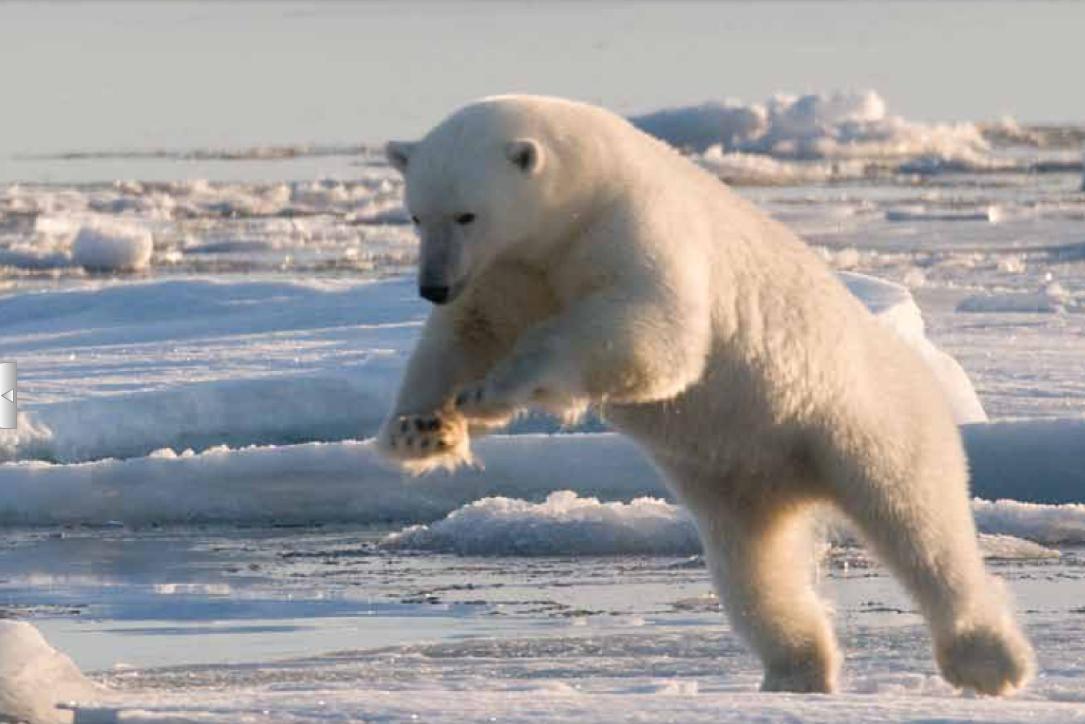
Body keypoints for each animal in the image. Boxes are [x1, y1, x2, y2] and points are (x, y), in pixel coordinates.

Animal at [379, 96, 1032, 694]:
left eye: (466, 214)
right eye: (416, 217)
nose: (431, 285)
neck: (578, 198)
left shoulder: (629, 231)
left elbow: (650, 333)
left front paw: (493, 389)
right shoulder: (504, 275)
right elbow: (460, 338)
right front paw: (421, 430)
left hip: (860, 419)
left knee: (919, 526)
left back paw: (989, 661)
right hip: (735, 483)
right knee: (754, 573)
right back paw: (797, 670)